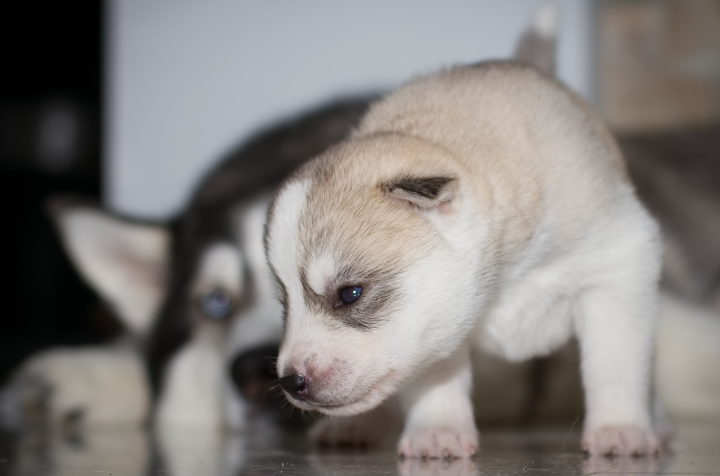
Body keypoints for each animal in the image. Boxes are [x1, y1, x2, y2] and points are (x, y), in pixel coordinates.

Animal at [264, 28, 664, 462]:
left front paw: (620, 427)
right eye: (285, 305)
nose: (290, 381)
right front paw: (436, 429)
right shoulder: (436, 321)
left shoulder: (617, 266)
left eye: (350, 293)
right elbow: (436, 372)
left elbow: (613, 361)